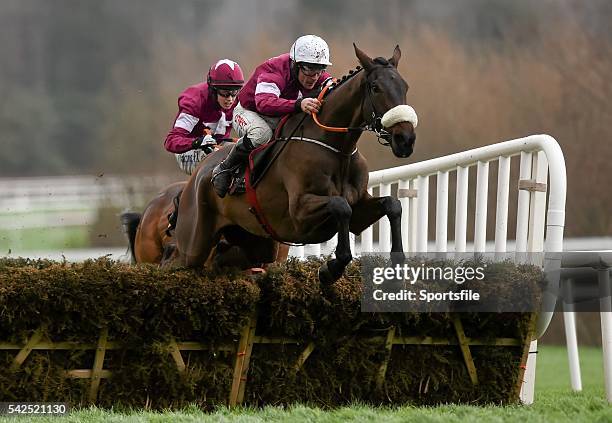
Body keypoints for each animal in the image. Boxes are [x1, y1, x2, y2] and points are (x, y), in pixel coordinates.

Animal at [175, 44, 418, 284]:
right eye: (376, 88)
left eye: (405, 86)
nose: (405, 139)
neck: (336, 149)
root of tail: (200, 171)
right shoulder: (299, 214)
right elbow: (340, 206)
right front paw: (330, 269)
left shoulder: (359, 209)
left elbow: (392, 204)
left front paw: (396, 271)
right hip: (194, 245)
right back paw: (222, 176)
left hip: (254, 244)